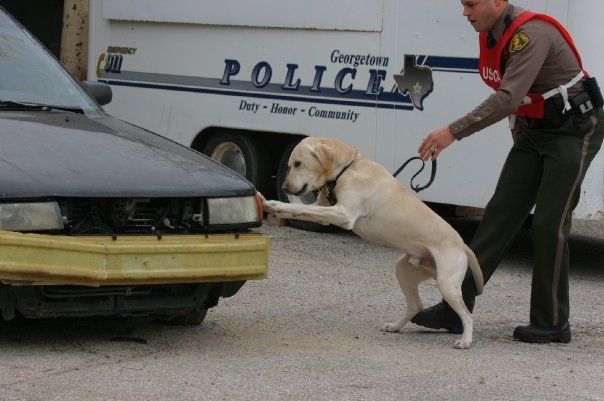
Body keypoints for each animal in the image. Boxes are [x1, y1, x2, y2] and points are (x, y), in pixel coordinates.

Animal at [262, 137, 484, 346]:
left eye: (298, 163)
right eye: (290, 165)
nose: (284, 187)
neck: (347, 168)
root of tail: (462, 244)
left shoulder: (344, 214)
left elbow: (299, 207)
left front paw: (276, 204)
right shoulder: (325, 211)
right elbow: (302, 210)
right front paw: (271, 207)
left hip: (447, 284)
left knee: (467, 315)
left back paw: (465, 340)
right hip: (404, 271)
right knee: (416, 306)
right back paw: (395, 326)